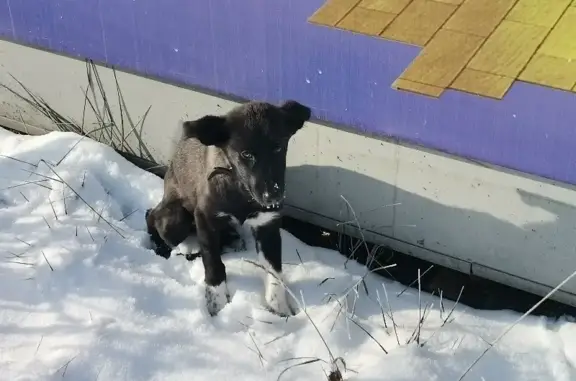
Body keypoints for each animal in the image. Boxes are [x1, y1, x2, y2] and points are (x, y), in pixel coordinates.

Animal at [146, 99, 312, 316]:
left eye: (278, 148)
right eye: (246, 154)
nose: (273, 197)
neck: (240, 190)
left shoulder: (268, 225)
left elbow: (274, 271)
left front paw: (279, 307)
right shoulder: (205, 218)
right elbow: (212, 262)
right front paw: (217, 303)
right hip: (175, 221)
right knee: (153, 216)